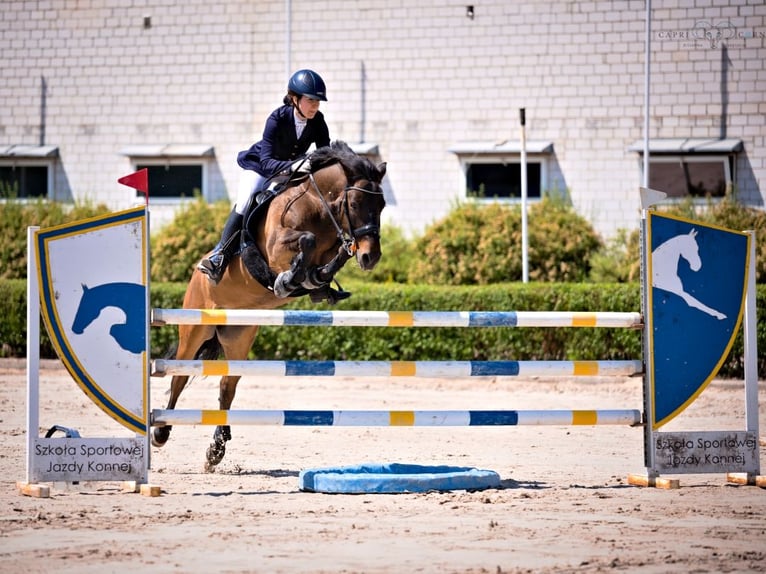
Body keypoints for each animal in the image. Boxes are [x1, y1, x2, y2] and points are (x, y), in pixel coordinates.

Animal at [152, 141, 390, 472]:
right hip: (195, 328)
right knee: (179, 376)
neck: (318, 206)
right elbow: (306, 240)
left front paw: (317, 282)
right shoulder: (277, 247)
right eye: (354, 204)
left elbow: (330, 260)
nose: (371, 257)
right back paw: (161, 431)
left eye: (381, 206)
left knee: (227, 386)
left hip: (239, 336)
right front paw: (287, 280)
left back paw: (216, 450)